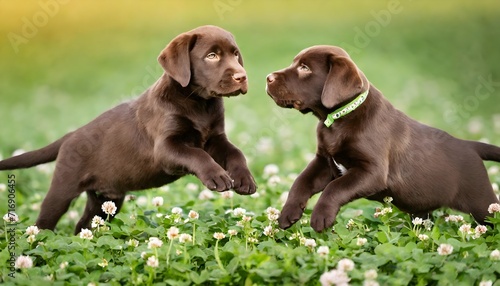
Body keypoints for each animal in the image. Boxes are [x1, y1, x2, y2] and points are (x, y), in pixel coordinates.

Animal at [0, 25, 256, 233]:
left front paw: (245, 179)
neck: (199, 103)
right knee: (43, 223)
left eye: (235, 54)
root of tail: (70, 135)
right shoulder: (166, 148)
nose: (242, 77)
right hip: (63, 189)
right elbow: (197, 155)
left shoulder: (215, 138)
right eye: (212, 56)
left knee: (84, 225)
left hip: (105, 200)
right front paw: (217, 175)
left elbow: (236, 153)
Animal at [268, 45, 498, 232]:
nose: (268, 77)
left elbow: (335, 188)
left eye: (305, 68)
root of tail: (470, 145)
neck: (337, 119)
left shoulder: (372, 171)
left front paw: (320, 216)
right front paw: (288, 213)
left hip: (482, 203)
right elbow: (300, 182)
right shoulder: (325, 162)